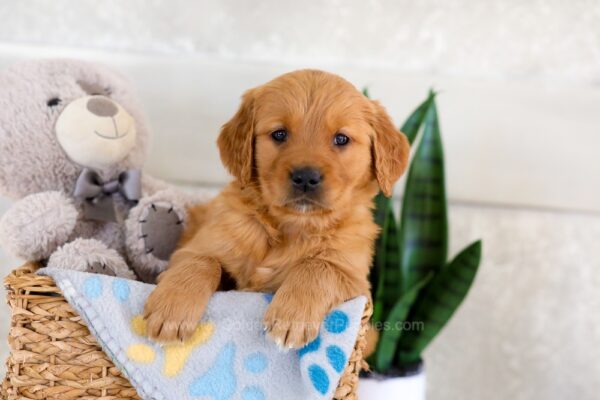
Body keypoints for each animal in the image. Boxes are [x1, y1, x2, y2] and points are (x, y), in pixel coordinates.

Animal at [143, 70, 410, 348]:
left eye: (341, 139)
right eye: (279, 134)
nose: (306, 177)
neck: (293, 226)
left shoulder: (357, 283)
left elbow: (319, 266)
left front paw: (292, 316)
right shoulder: (194, 249)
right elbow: (202, 261)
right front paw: (171, 311)